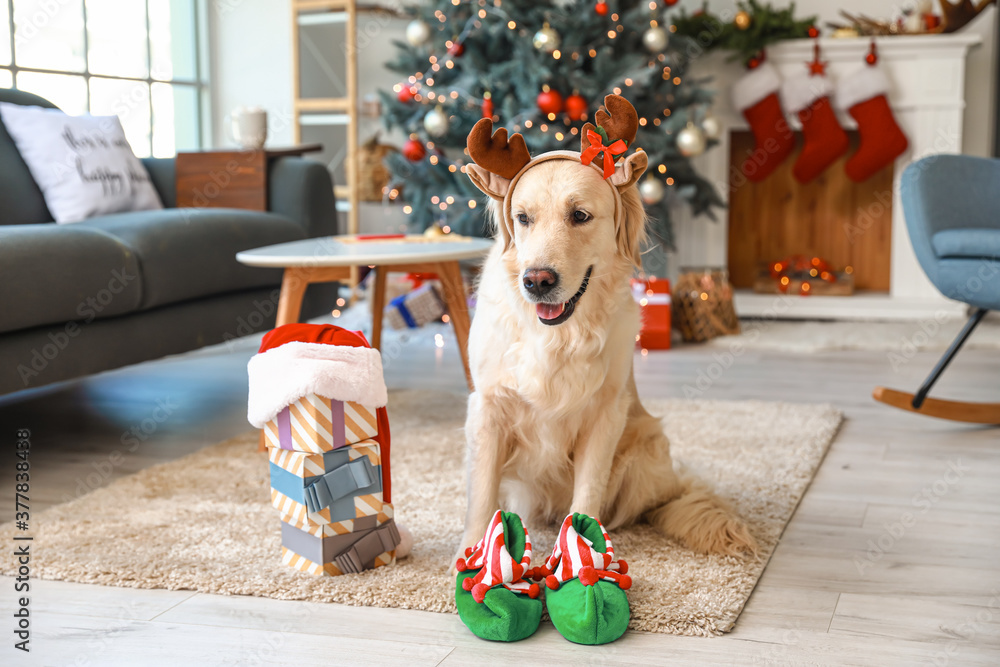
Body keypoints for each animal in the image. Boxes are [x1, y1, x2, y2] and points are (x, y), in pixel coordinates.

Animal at [458, 95, 752, 564]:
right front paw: (474, 555)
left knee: (661, 502)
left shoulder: (605, 414)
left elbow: (587, 495)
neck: (559, 334)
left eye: (580, 215)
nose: (536, 281)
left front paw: (579, 557)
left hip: (647, 451)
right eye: (522, 218)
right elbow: (482, 493)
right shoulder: (488, 408)